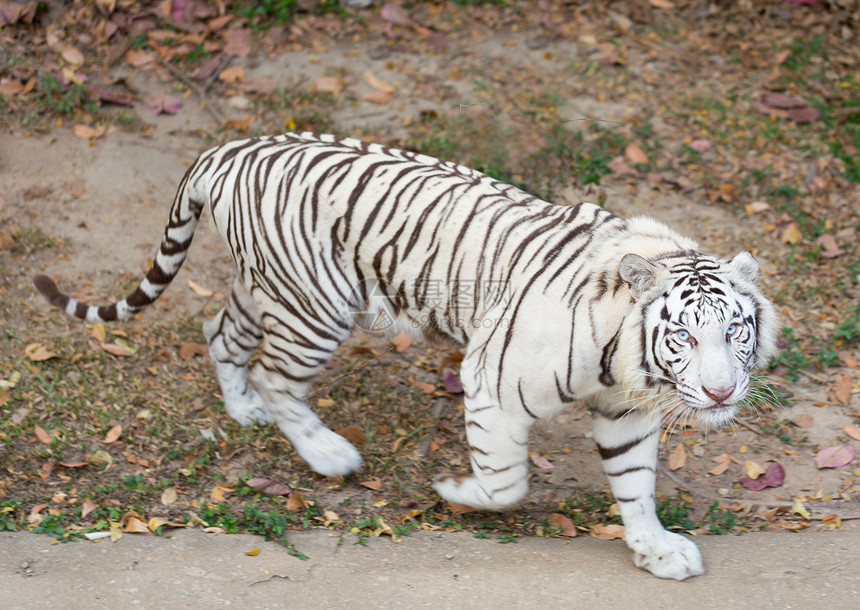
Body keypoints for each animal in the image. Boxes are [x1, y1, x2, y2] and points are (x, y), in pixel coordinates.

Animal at [33, 131, 776, 576]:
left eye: (735, 331)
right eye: (684, 336)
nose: (720, 393)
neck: (629, 361)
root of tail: (231, 147)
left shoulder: (625, 412)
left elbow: (635, 486)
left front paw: (656, 551)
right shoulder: (492, 379)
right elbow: (507, 481)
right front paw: (457, 492)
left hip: (267, 288)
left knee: (224, 334)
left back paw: (243, 410)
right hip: (316, 307)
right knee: (277, 377)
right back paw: (327, 453)